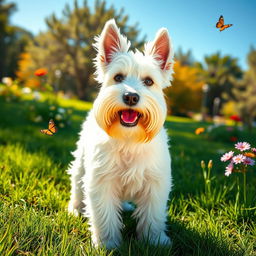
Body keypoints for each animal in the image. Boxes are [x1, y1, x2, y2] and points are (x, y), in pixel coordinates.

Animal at [67, 18, 174, 248]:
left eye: (149, 81)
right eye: (118, 77)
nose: (131, 97)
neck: (129, 139)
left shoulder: (155, 183)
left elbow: (152, 216)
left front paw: (155, 241)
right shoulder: (101, 181)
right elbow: (105, 216)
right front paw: (108, 244)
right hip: (81, 163)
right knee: (77, 185)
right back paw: (75, 209)